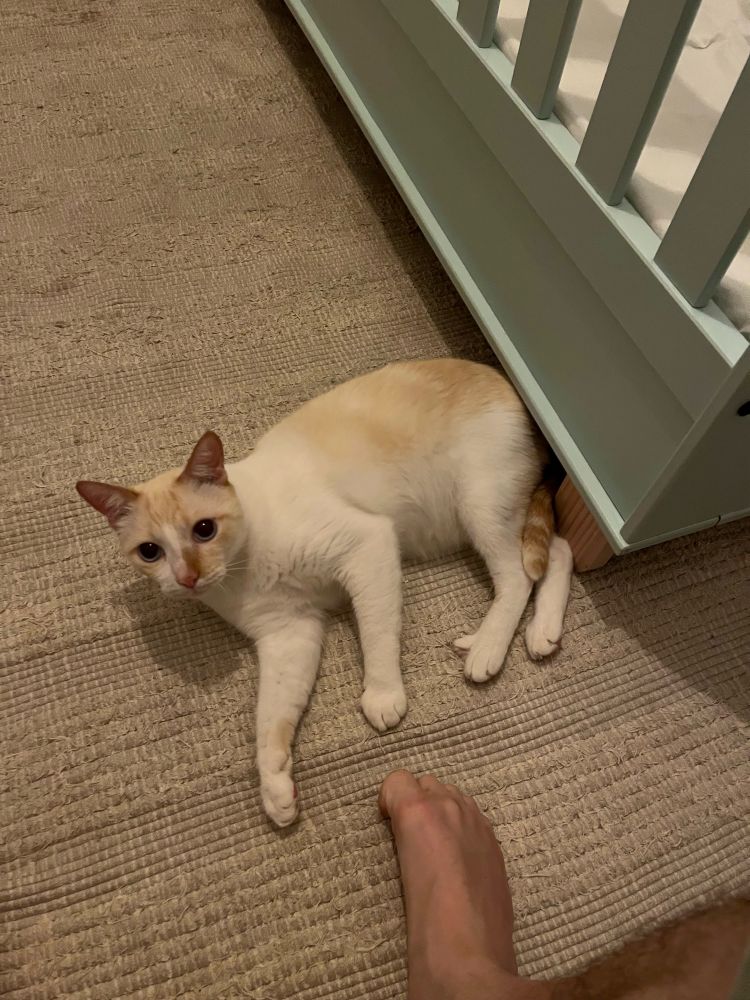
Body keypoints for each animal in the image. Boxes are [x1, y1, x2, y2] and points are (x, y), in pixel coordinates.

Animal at [76, 359, 572, 826]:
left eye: (204, 530)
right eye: (150, 552)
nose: (186, 577)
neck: (246, 565)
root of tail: (507, 383)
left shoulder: (368, 548)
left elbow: (377, 637)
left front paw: (383, 696)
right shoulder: (288, 632)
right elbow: (270, 718)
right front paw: (275, 786)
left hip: (478, 506)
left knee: (519, 574)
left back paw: (487, 649)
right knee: (557, 550)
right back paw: (542, 634)